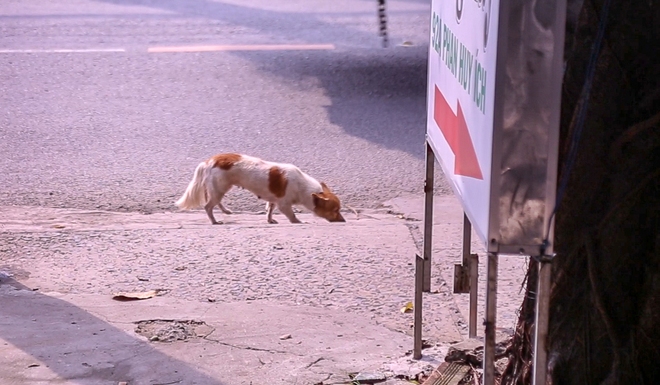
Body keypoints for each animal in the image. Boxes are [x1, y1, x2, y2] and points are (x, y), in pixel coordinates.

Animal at [175, 153, 346, 224]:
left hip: (219, 189)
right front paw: (299, 222)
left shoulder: (273, 200)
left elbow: (269, 210)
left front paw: (270, 220)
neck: (303, 187)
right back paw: (214, 221)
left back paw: (225, 211)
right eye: (335, 211)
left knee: (215, 202)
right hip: (219, 189)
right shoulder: (284, 205)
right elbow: (292, 216)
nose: (343, 220)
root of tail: (209, 161)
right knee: (208, 206)